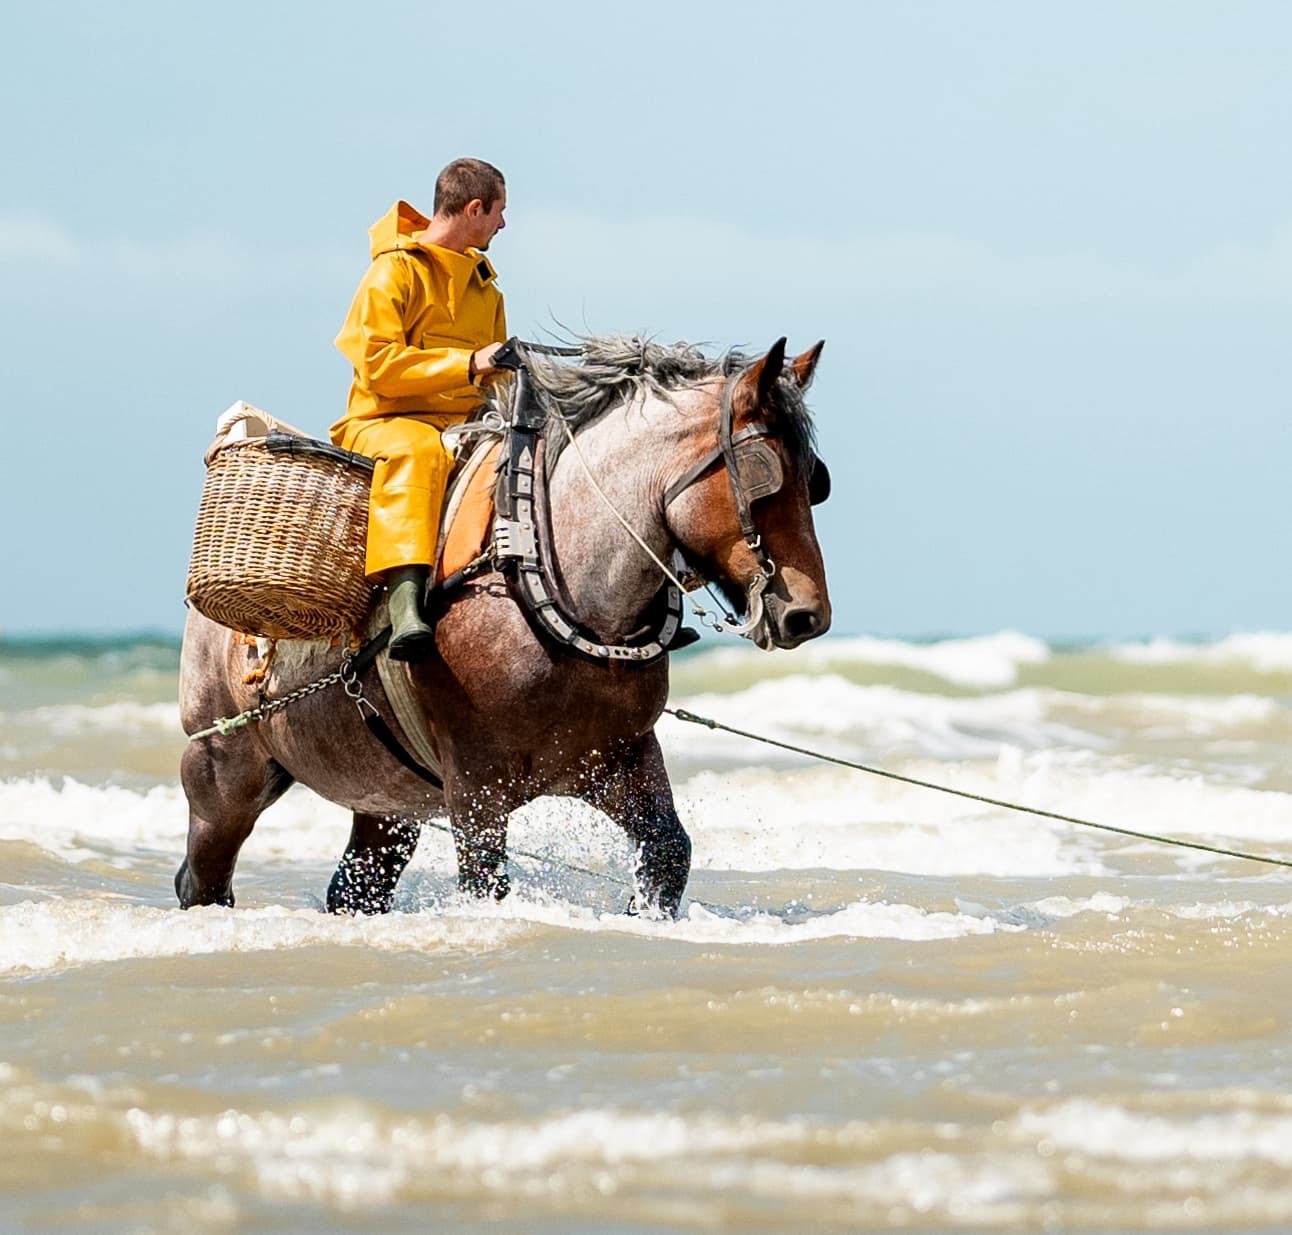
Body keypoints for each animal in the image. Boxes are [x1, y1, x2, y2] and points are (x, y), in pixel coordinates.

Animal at [176, 335, 832, 919]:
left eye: (815, 482)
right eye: (766, 479)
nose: (808, 615)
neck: (550, 588)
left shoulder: (621, 758)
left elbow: (667, 853)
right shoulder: (475, 785)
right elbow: (485, 879)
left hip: (388, 802)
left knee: (355, 889)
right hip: (222, 774)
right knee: (203, 877)